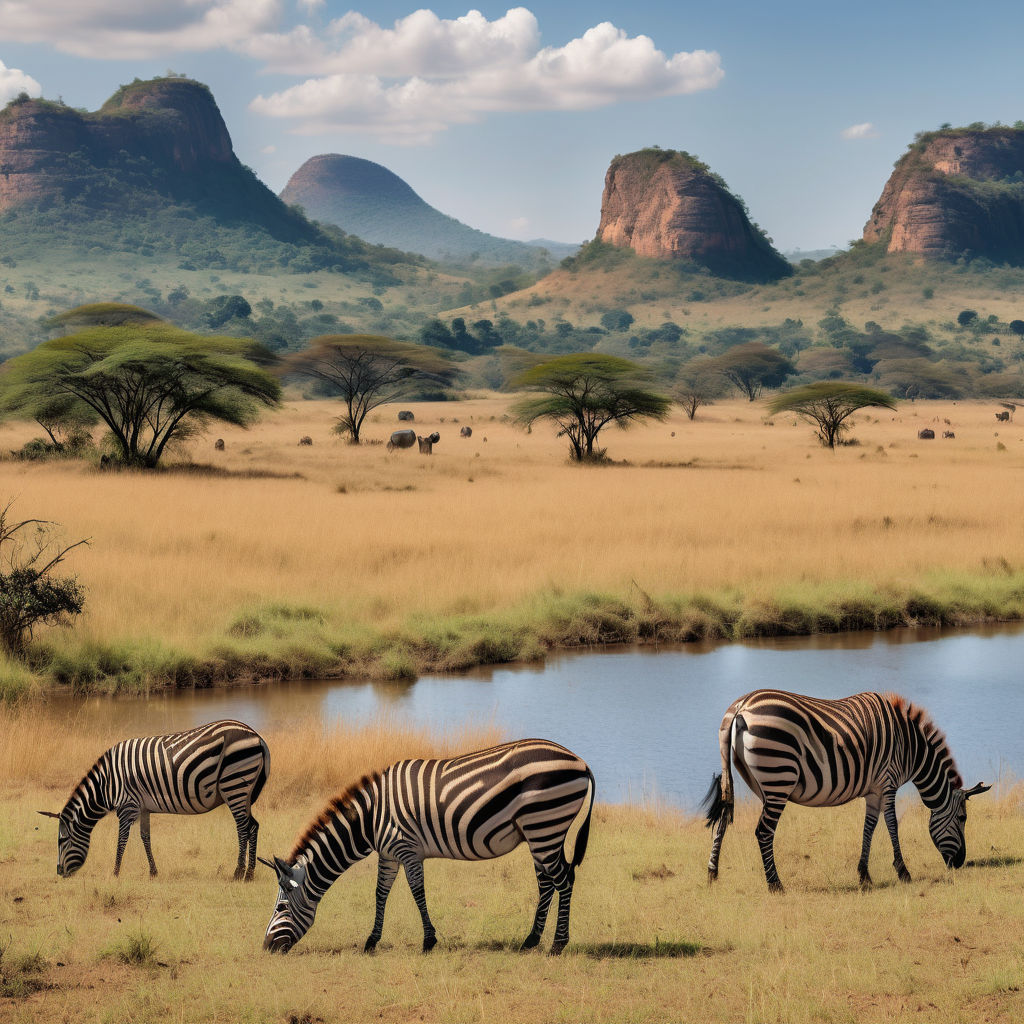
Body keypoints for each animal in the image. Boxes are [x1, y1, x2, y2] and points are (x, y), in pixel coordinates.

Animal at [39, 719, 270, 881]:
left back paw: (238, 872)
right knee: (253, 826)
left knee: (243, 828)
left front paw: (115, 872)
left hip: (234, 784)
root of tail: (256, 736)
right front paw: (153, 872)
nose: (59, 872)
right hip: (244, 791)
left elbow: (122, 840)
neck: (107, 784)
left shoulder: (127, 806)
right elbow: (145, 837)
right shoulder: (143, 807)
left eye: (61, 841)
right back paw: (249, 873)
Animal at [260, 738, 594, 956]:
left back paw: (557, 945)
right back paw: (531, 941)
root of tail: (580, 761)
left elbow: (417, 891)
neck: (370, 820)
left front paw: (428, 941)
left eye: (280, 908)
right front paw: (371, 941)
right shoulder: (389, 854)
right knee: (547, 883)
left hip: (545, 825)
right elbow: (380, 893)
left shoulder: (407, 848)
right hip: (541, 833)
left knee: (564, 880)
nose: (266, 948)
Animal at [703, 689, 990, 892]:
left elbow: (869, 827)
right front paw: (903, 872)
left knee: (722, 821)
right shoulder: (888, 783)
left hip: (746, 778)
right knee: (763, 831)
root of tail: (742, 706)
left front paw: (864, 875)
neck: (910, 747)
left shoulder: (874, 789)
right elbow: (892, 824)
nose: (960, 863)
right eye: (963, 818)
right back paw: (775, 884)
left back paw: (712, 874)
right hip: (779, 778)